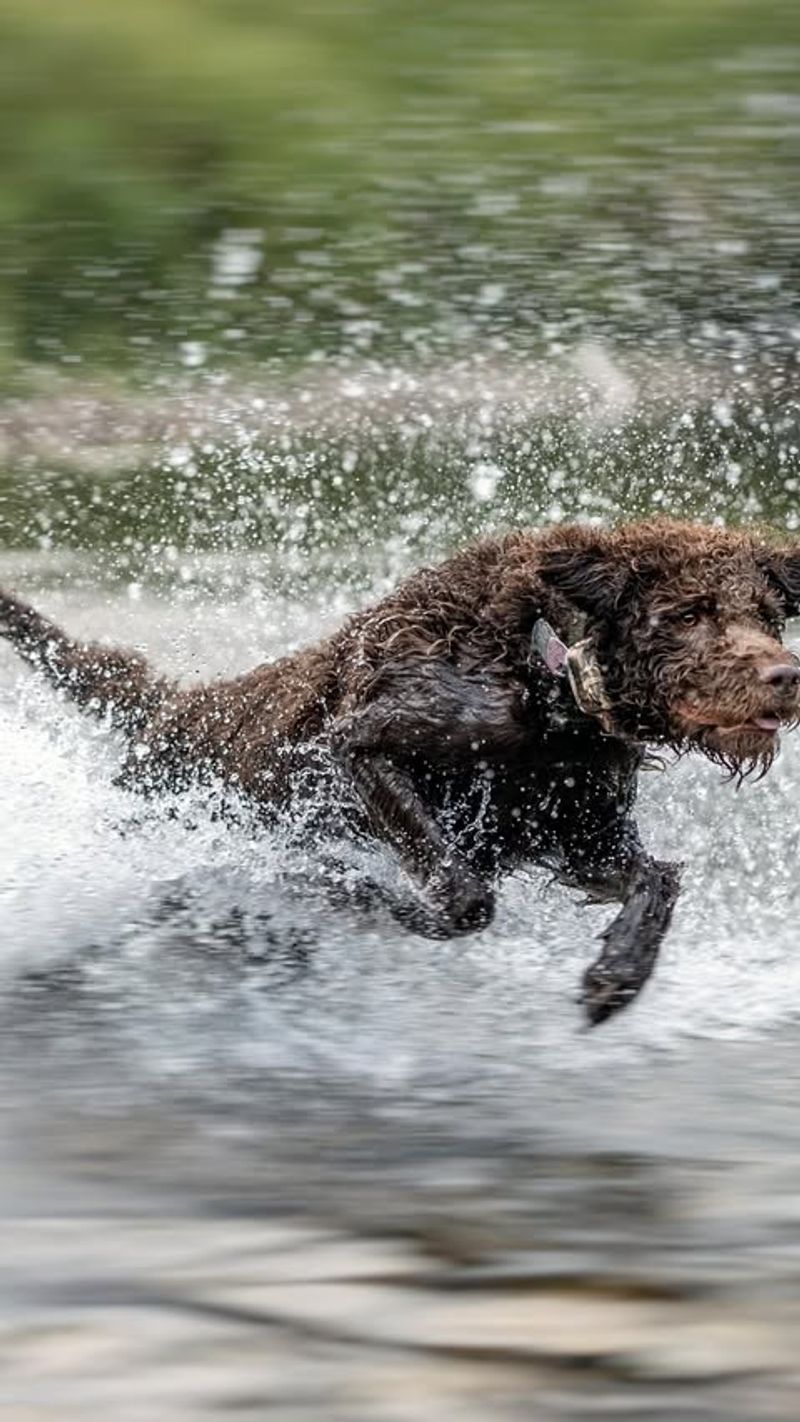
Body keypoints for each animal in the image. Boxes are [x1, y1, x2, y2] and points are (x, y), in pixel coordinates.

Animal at [1, 523, 800, 1023]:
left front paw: (618, 976)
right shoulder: (364, 747)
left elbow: (656, 880)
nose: (785, 676)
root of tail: (174, 711)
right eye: (689, 613)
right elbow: (462, 894)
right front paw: (363, 894)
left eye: (767, 614)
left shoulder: (577, 828)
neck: (548, 675)